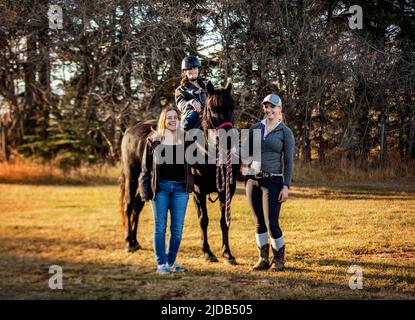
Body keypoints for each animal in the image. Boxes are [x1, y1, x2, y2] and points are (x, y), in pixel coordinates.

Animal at [118, 80, 240, 264]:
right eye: (211, 109)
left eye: (232, 107)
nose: (228, 141)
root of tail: (133, 127)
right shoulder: (198, 191)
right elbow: (203, 220)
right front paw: (208, 252)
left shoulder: (228, 190)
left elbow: (224, 221)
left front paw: (227, 253)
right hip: (131, 177)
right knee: (129, 205)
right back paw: (129, 242)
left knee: (138, 206)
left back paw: (135, 241)